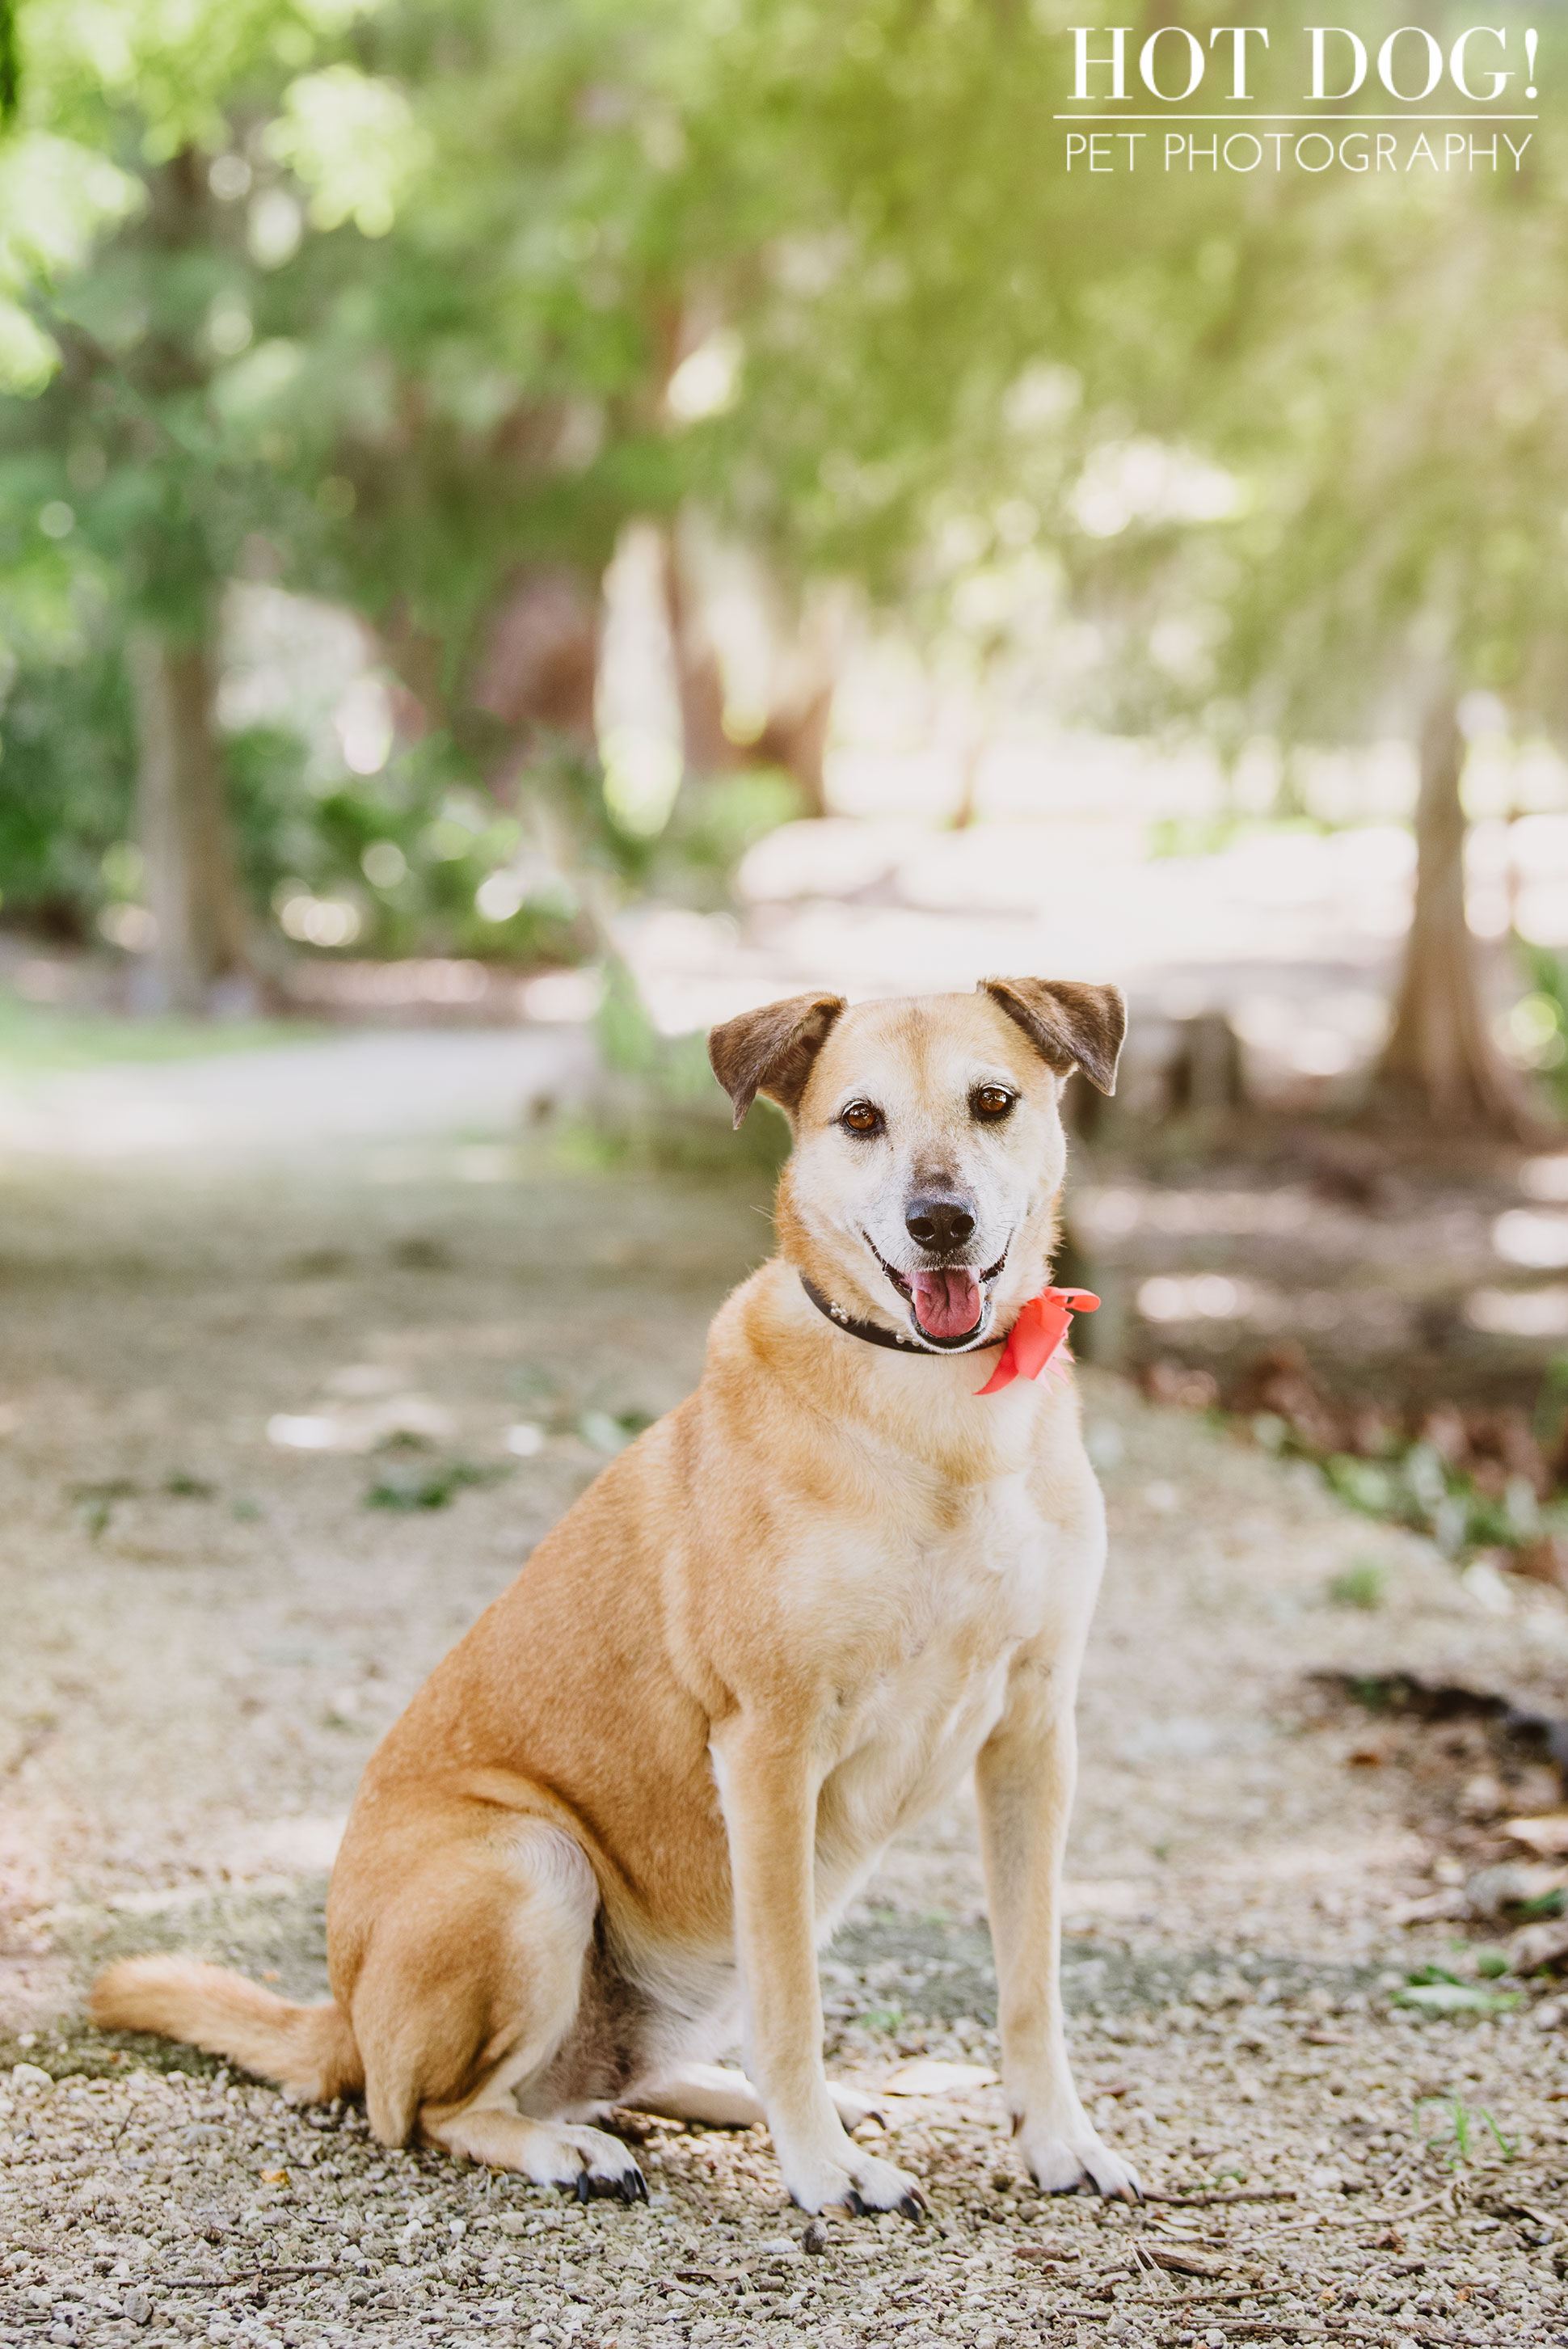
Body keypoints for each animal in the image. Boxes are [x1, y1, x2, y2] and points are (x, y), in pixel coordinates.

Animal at [95, 976, 1140, 2217]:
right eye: (861, 1119)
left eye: (992, 1102)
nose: (941, 1220)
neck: (939, 1408)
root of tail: (340, 2018)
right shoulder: (769, 1747)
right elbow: (794, 1997)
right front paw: (823, 2169)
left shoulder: (1032, 1730)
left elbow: (1032, 1979)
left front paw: (1055, 2139)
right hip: (528, 1863)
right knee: (427, 2111)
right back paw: (571, 2149)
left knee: (619, 2073)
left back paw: (730, 2098)